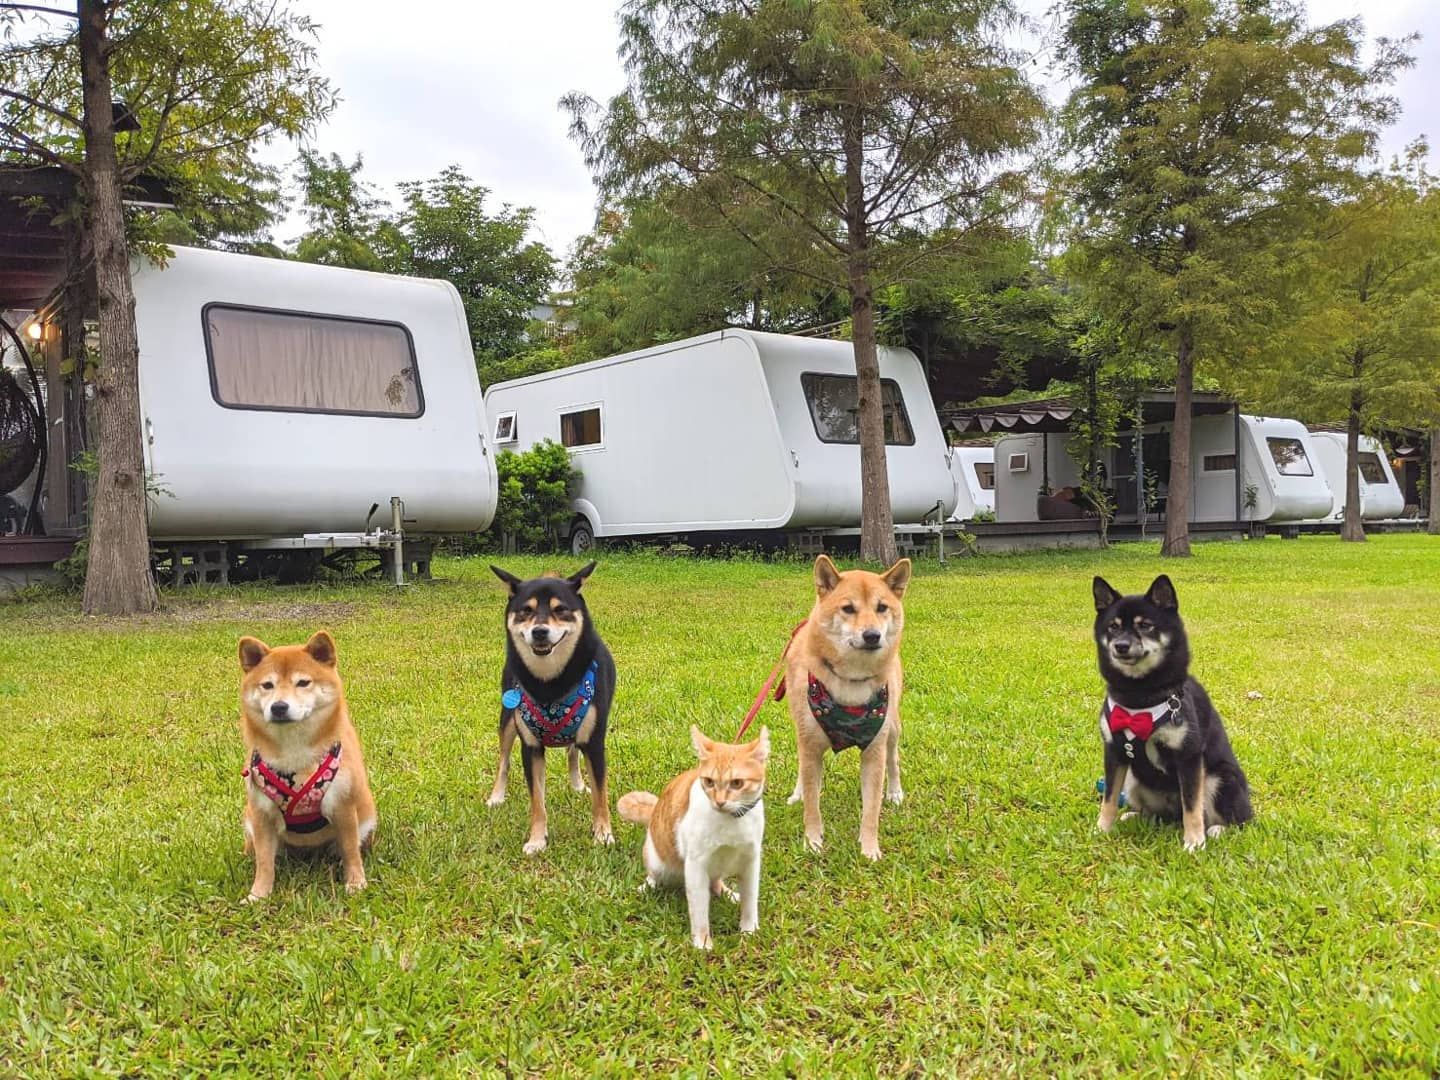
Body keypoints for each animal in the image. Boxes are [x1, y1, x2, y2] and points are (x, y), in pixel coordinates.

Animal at [622, 731, 771, 950]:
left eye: (737, 783)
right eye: (709, 781)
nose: (719, 802)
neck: (730, 821)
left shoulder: (751, 861)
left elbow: (750, 899)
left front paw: (749, 930)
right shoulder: (696, 865)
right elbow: (699, 910)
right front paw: (702, 942)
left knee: (716, 881)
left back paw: (728, 893)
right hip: (657, 858)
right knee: (654, 874)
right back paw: (647, 886)